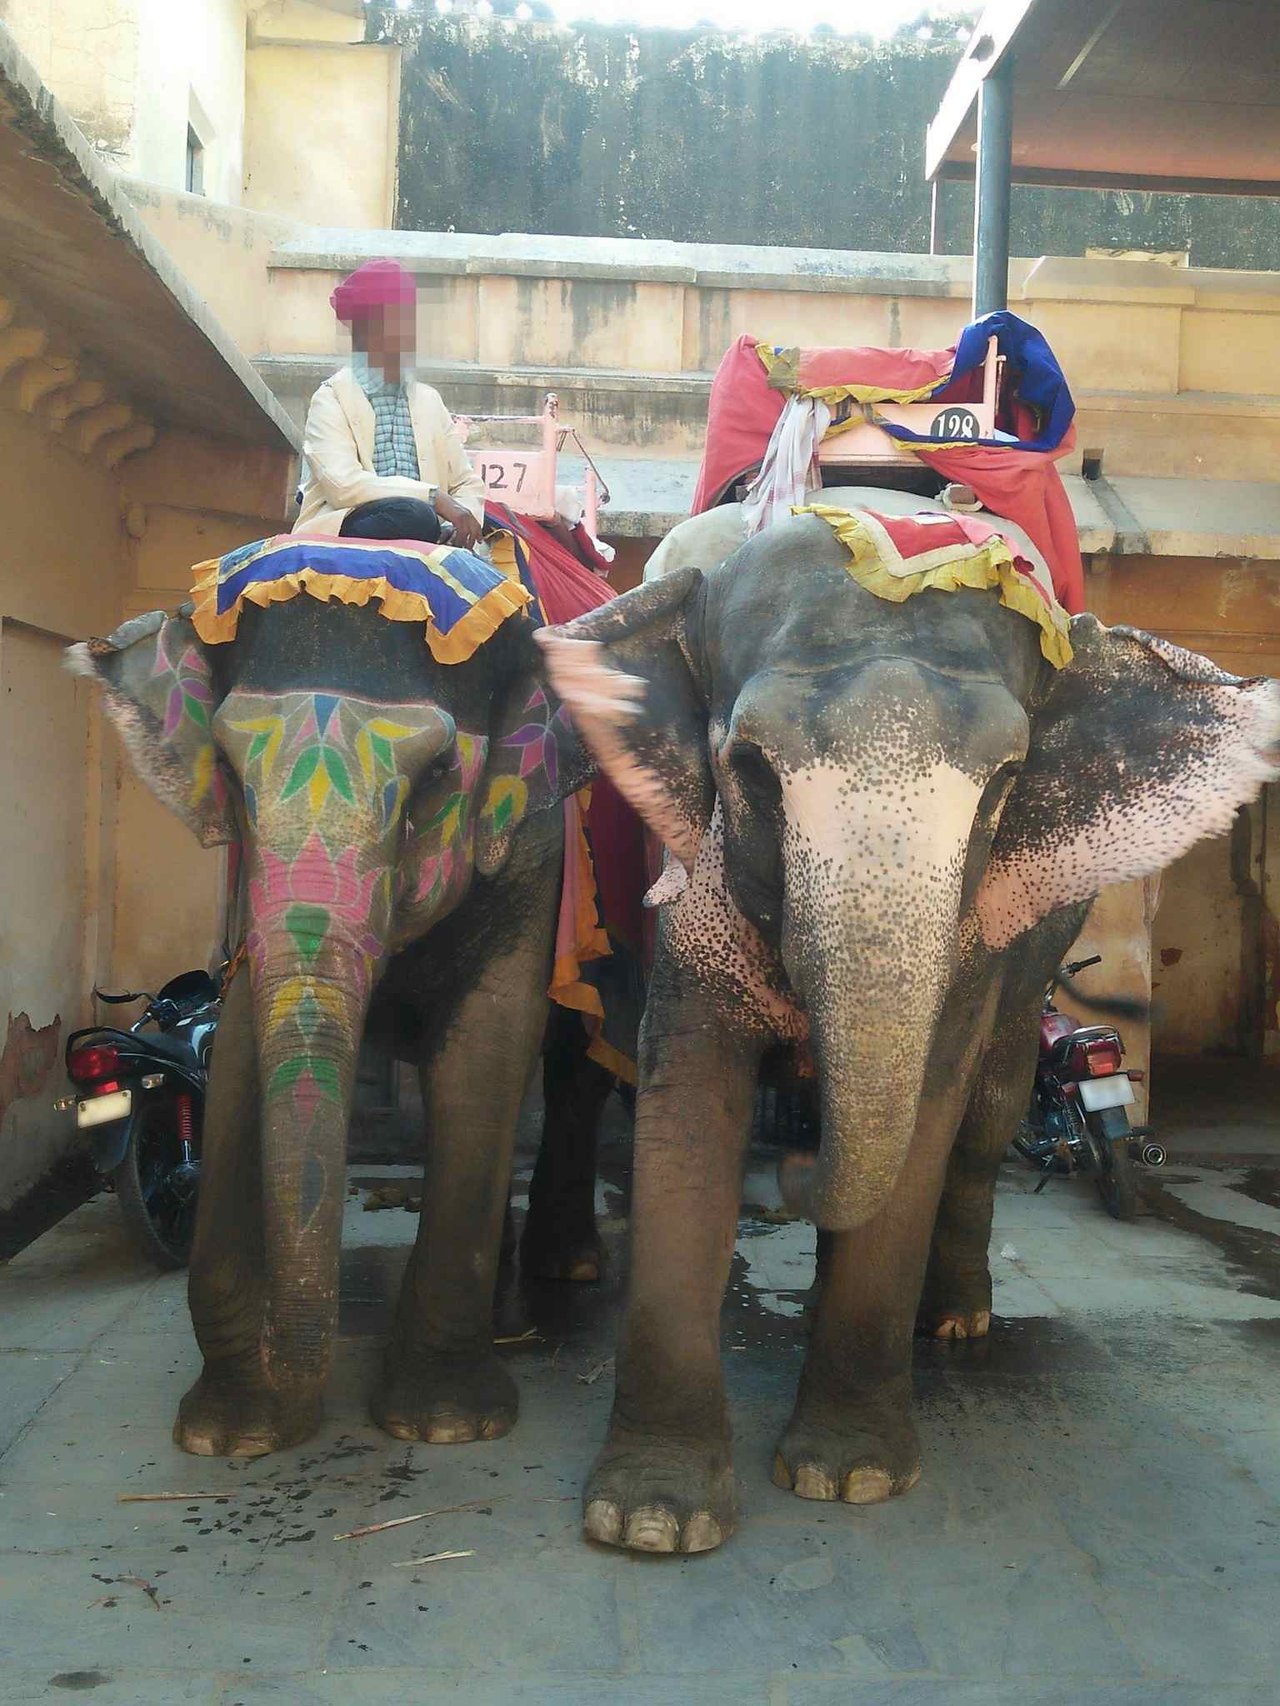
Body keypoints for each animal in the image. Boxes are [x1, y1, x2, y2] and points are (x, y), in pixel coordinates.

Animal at [71, 586, 645, 1457]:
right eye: (228, 772)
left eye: (437, 774)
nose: (286, 1360)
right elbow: (241, 1052)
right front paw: (231, 1435)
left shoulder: (530, 855)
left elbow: (487, 1046)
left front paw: (446, 1425)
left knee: (573, 1067)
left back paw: (565, 1269)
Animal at [537, 508, 1280, 1553]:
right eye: (750, 769)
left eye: (1008, 780)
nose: (794, 1160)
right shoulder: (692, 889)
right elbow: (688, 1101)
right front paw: (650, 1520)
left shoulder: (978, 938)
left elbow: (932, 1104)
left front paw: (849, 1477)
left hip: (1039, 955)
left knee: (989, 1115)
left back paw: (957, 1322)